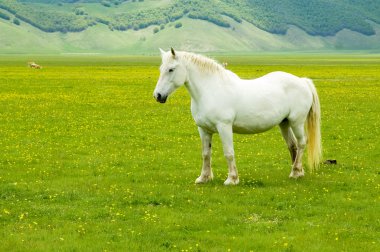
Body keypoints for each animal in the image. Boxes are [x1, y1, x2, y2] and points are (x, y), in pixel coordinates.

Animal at [153, 47, 322, 185]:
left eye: (171, 69)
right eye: (161, 68)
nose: (158, 95)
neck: (210, 90)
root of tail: (302, 81)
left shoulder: (224, 127)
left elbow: (229, 153)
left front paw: (232, 179)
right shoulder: (203, 129)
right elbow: (206, 154)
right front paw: (204, 178)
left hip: (296, 122)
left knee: (301, 143)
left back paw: (295, 172)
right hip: (284, 123)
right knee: (292, 145)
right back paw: (298, 172)